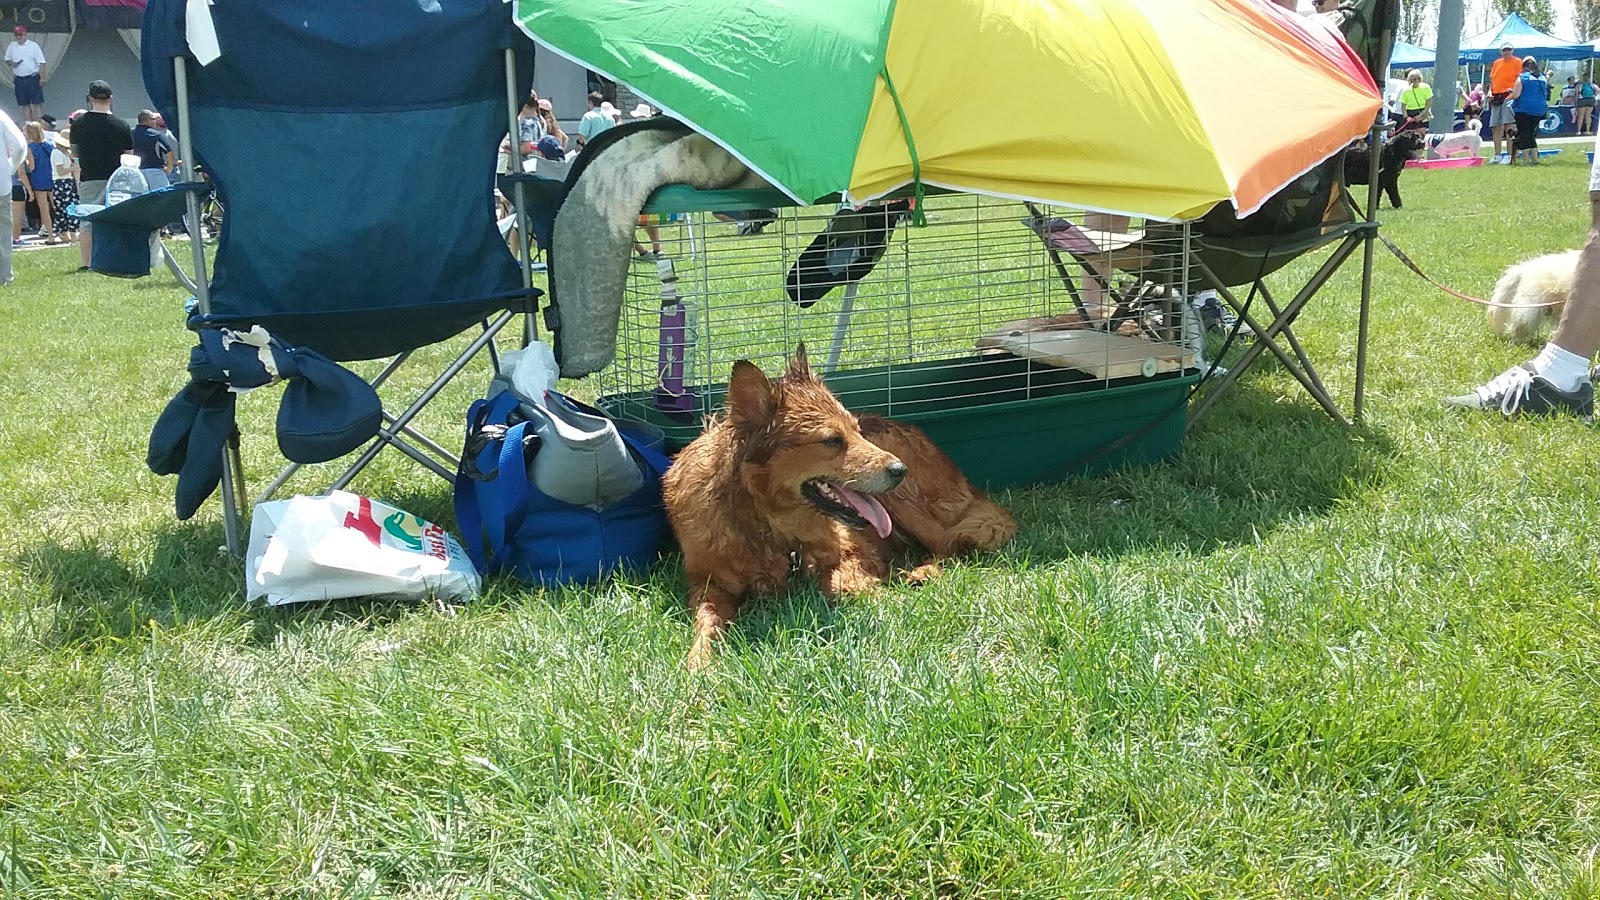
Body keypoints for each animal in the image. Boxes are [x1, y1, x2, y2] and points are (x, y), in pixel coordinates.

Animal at [659, 342, 1011, 666]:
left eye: (855, 431)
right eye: (831, 440)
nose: (900, 470)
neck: (764, 524)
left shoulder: (853, 552)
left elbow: (839, 582)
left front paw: (876, 591)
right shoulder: (708, 584)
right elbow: (706, 621)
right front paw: (700, 663)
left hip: (910, 505)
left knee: (951, 543)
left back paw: (921, 571)